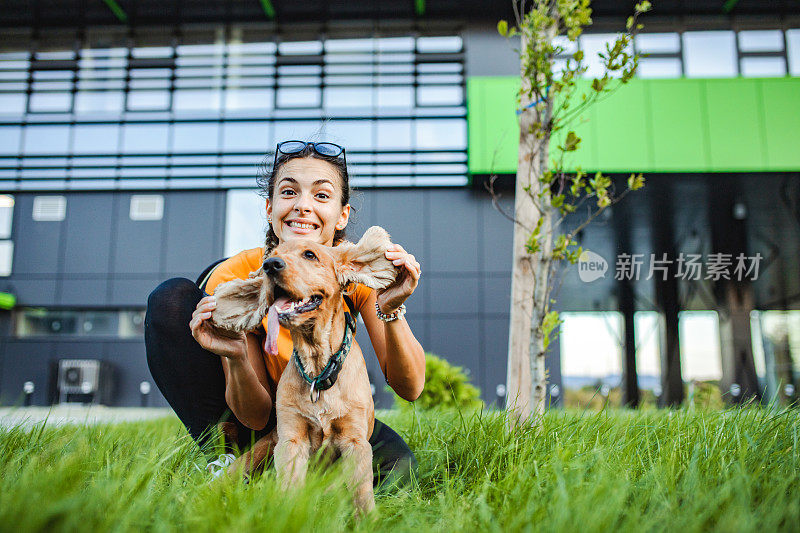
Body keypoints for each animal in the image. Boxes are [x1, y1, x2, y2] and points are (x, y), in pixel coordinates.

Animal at [205, 224, 396, 512]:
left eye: (310, 254)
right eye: (270, 258)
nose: (271, 265)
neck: (317, 368)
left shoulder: (355, 441)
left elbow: (362, 493)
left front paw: (368, 518)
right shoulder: (291, 438)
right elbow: (289, 486)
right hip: (258, 451)